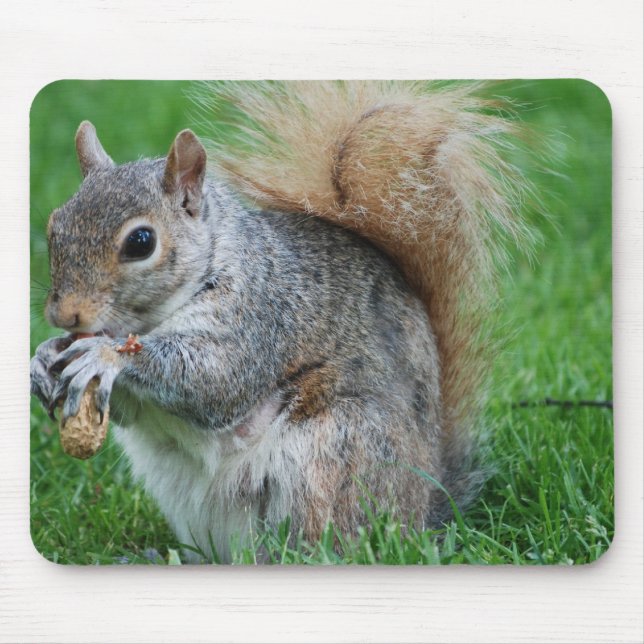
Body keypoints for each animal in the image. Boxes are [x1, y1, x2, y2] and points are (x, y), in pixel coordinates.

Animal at [30, 81, 528, 562]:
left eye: (141, 242)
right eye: (54, 225)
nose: (65, 313)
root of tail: (423, 514)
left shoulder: (260, 315)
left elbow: (215, 381)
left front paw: (104, 355)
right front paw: (43, 357)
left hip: (333, 456)